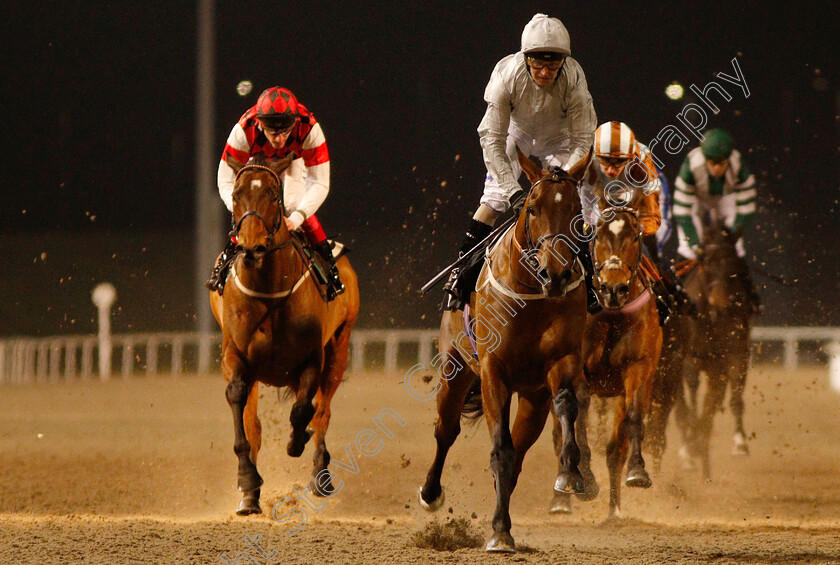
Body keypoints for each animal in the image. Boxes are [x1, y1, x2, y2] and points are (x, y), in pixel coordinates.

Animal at [208, 154, 360, 516]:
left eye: (272, 196)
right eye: (235, 195)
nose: (251, 247)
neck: (269, 290)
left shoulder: (313, 358)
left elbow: (305, 410)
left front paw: (298, 441)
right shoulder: (235, 354)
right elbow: (241, 407)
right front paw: (247, 481)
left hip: (340, 347)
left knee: (323, 410)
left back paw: (320, 474)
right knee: (256, 423)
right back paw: (250, 494)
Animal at [416, 152, 588, 552]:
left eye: (576, 210)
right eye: (533, 207)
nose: (556, 274)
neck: (532, 295)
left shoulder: (562, 361)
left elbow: (566, 405)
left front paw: (571, 473)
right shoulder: (493, 372)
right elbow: (499, 448)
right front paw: (498, 532)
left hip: (533, 400)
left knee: (520, 451)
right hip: (455, 371)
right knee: (445, 430)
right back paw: (431, 494)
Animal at [552, 206, 664, 516]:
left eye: (635, 236)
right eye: (597, 236)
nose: (614, 288)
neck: (611, 317)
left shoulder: (638, 368)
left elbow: (632, 420)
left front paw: (638, 471)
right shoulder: (576, 370)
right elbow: (575, 420)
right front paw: (585, 478)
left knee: (615, 448)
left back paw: (614, 510)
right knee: (557, 433)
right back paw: (561, 498)